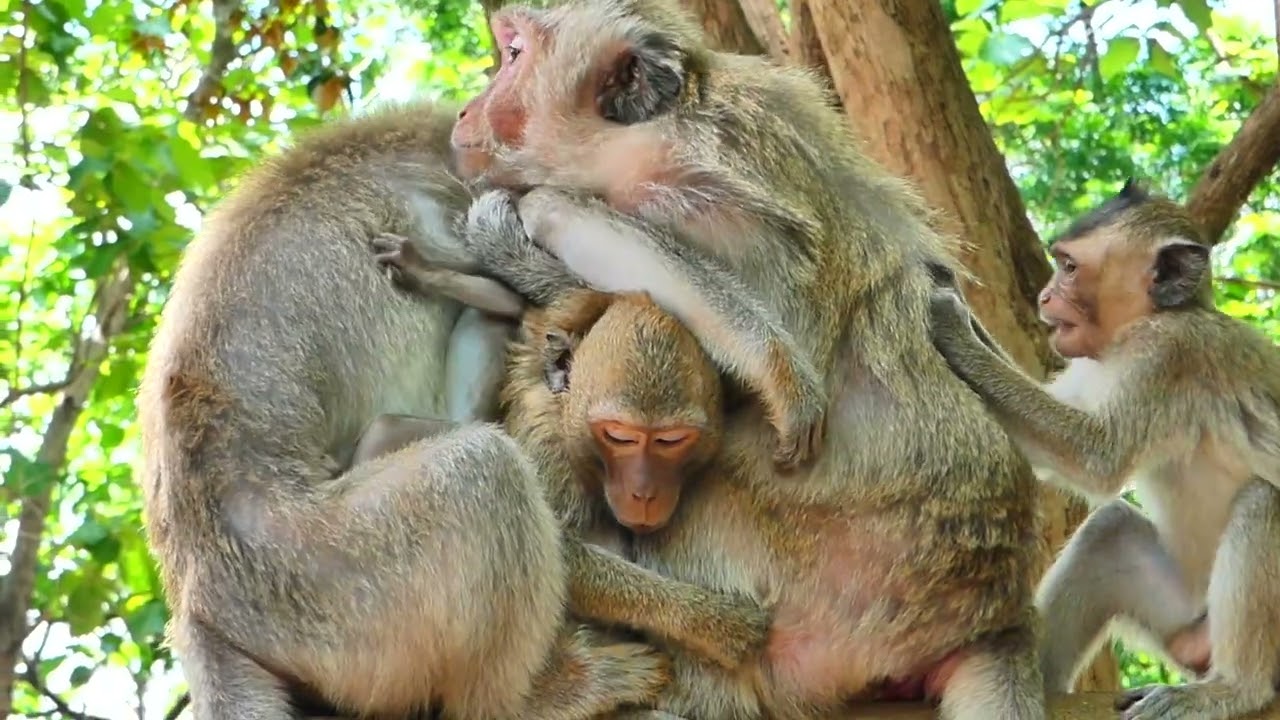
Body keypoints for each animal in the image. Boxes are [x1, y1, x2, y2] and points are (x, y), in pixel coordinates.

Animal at [435, 1, 1050, 716]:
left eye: (513, 56)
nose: (465, 110)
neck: (654, 132)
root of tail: (994, 611)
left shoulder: (697, 197)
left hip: (834, 588)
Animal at [927, 179, 1280, 720]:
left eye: (1070, 267)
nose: (1044, 294)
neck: (1150, 321)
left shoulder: (1169, 355)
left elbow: (1096, 457)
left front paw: (955, 327)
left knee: (1264, 501)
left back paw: (1235, 689)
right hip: (1185, 617)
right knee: (1109, 530)